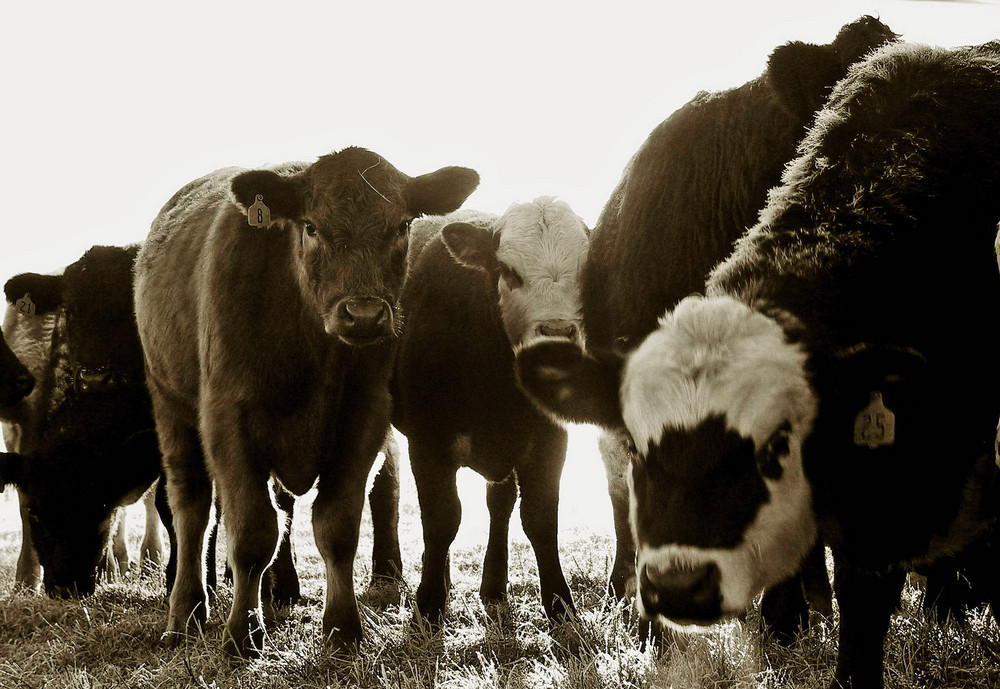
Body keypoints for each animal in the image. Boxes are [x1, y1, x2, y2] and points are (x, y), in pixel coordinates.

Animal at [134, 146, 480, 656]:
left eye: (402, 225)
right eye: (312, 226)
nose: (363, 314)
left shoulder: (364, 418)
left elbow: (336, 525)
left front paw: (342, 627)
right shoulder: (228, 420)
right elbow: (252, 530)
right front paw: (242, 633)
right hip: (171, 402)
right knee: (191, 509)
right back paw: (187, 614)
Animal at [390, 196, 588, 628]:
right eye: (509, 271)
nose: (557, 334)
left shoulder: (550, 438)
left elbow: (540, 518)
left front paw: (560, 604)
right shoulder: (428, 441)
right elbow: (442, 518)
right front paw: (428, 605)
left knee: (500, 503)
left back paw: (493, 586)